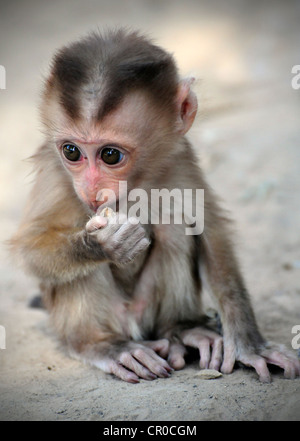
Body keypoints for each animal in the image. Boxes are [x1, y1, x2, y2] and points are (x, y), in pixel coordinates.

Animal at [10, 30, 298, 382]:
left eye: (110, 155)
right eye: (71, 151)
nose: (91, 188)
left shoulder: (180, 158)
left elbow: (210, 230)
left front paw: (250, 344)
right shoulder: (54, 170)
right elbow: (30, 248)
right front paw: (102, 243)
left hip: (147, 313)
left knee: (174, 226)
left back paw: (183, 330)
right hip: (104, 317)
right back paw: (101, 345)